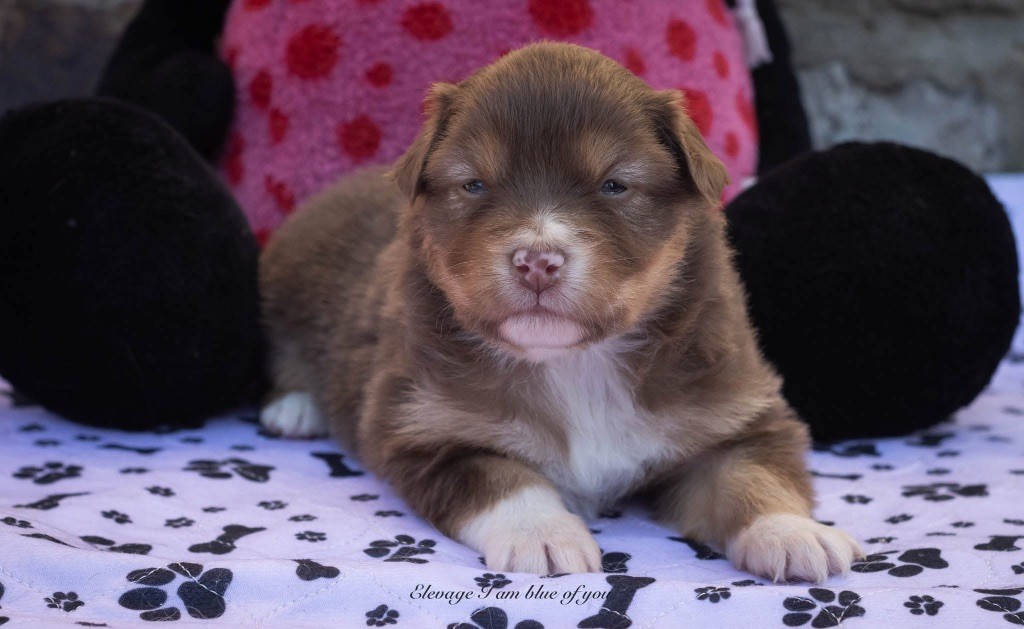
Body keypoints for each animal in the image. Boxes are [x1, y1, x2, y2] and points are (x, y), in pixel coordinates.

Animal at [260, 42, 860, 585]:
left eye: (614, 185)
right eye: (474, 184)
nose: (536, 262)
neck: (576, 364)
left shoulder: (734, 411)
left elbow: (751, 473)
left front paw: (792, 532)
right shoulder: (422, 426)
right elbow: (501, 476)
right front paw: (543, 535)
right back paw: (295, 408)